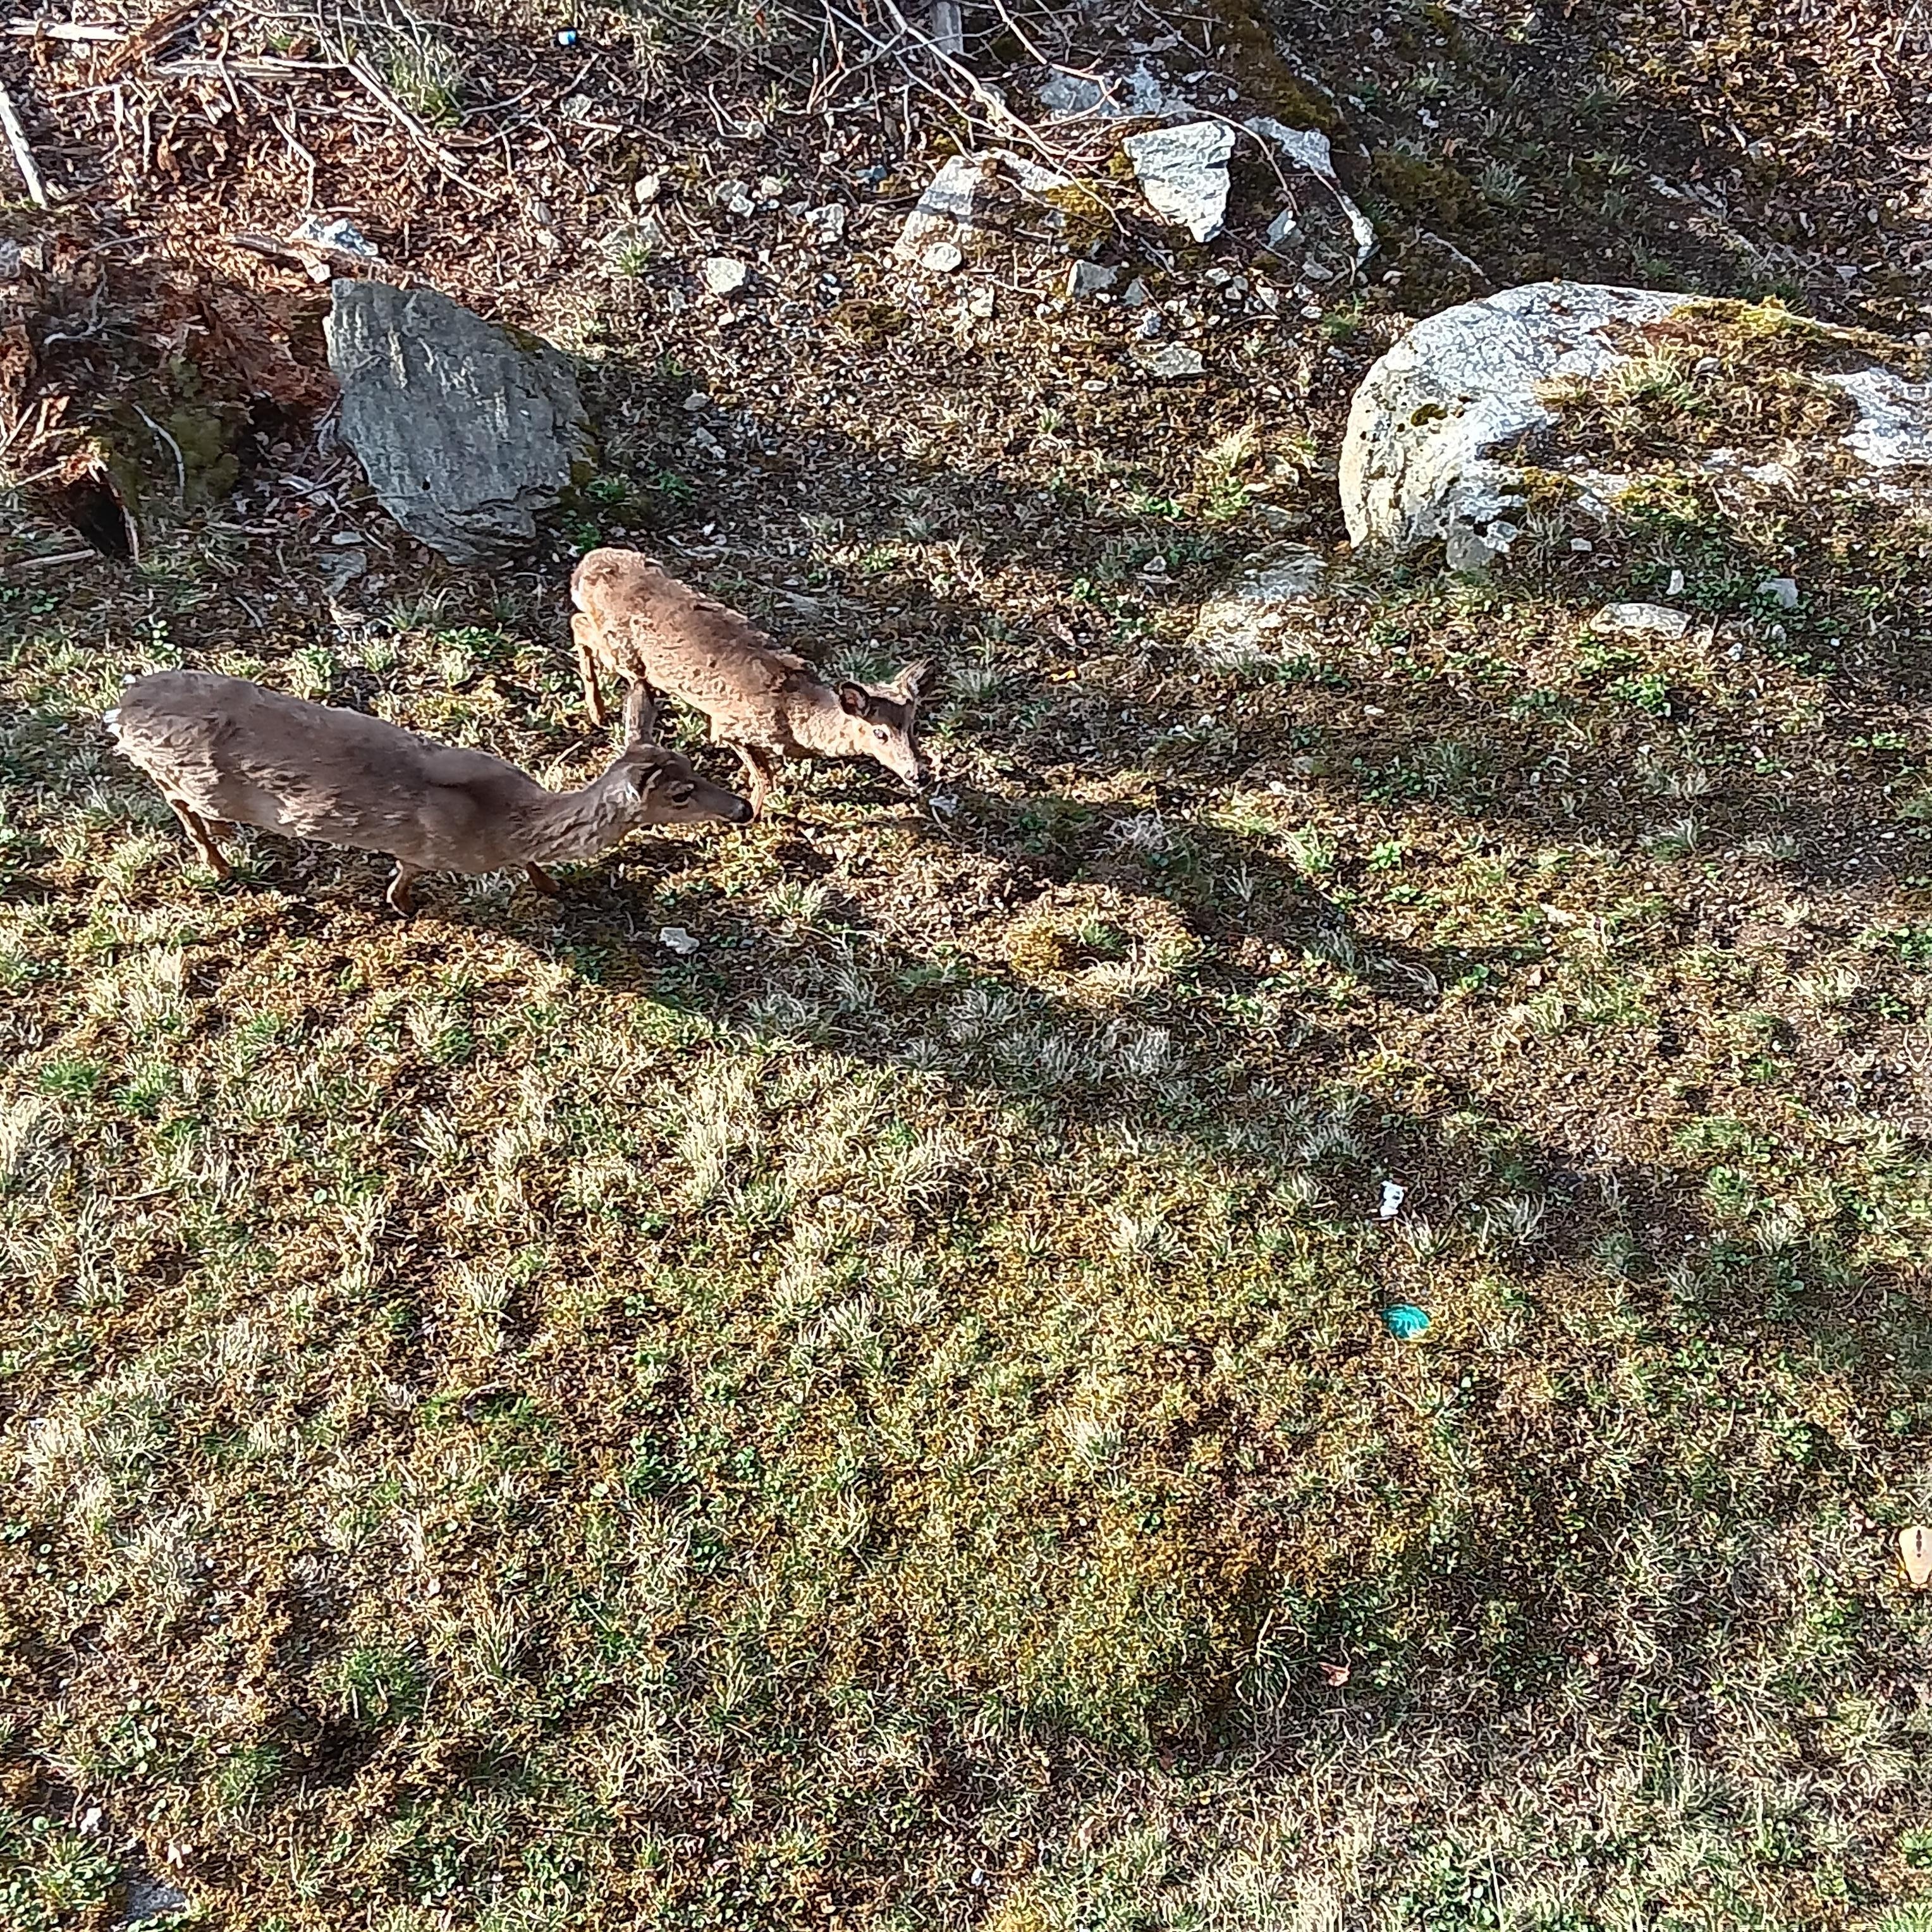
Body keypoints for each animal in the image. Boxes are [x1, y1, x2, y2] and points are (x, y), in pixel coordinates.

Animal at [105, 670, 753, 915]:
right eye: (680, 795)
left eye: (697, 766)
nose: (744, 808)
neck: (501, 820)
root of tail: (122, 704)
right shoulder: (422, 851)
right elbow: (402, 884)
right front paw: (404, 907)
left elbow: (536, 870)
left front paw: (554, 887)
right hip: (197, 779)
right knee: (177, 798)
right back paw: (217, 856)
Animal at [569, 547, 936, 819]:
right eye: (880, 733)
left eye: (912, 726)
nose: (917, 773)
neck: (794, 714)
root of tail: (585, 567)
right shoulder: (730, 725)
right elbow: (764, 777)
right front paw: (753, 816)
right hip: (624, 652)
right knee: (579, 624)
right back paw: (597, 712)